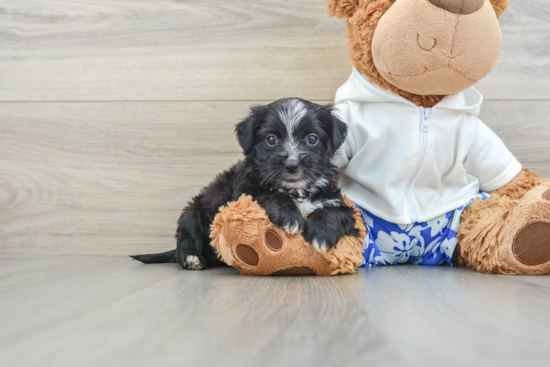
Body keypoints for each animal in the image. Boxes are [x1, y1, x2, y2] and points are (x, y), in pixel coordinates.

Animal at [131, 98, 360, 270]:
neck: (295, 190)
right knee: (185, 239)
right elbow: (267, 193)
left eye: (312, 139)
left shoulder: (336, 201)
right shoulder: (243, 192)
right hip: (191, 214)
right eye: (271, 139)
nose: (292, 165)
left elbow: (337, 212)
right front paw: (289, 215)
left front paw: (321, 233)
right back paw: (191, 258)